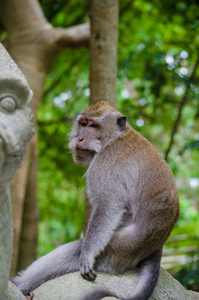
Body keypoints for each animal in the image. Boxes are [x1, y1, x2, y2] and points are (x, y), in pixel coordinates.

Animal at [12, 101, 180, 300]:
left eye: (93, 126)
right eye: (83, 124)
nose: (80, 138)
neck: (114, 137)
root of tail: (157, 247)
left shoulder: (104, 164)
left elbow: (110, 203)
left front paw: (87, 255)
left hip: (122, 247)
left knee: (75, 250)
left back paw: (20, 286)